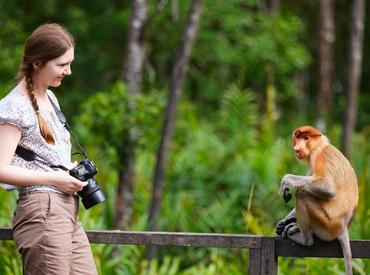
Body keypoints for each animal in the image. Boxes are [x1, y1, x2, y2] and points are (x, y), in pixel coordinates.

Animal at [278, 126, 358, 275]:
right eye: (298, 137)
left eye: (306, 138)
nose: (297, 147)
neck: (319, 146)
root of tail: (343, 227)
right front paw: (285, 220)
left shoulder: (318, 156)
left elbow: (328, 188)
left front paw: (286, 181)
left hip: (327, 226)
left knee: (302, 193)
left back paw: (305, 239)